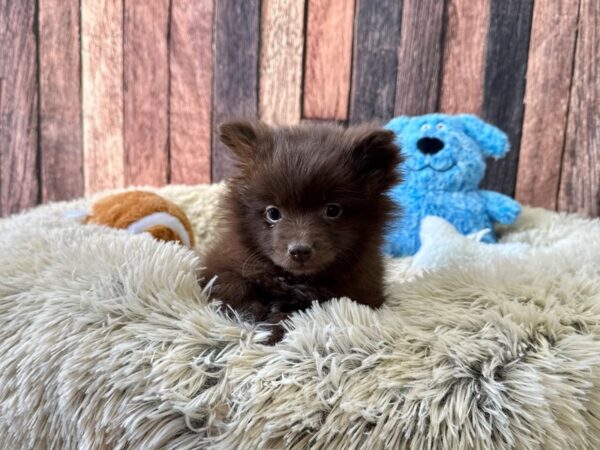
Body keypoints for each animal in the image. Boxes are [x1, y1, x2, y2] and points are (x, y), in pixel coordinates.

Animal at [202, 119, 404, 342]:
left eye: (332, 210)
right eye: (273, 213)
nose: (299, 250)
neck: (295, 279)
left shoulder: (358, 291)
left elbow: (304, 308)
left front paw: (273, 326)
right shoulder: (222, 261)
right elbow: (232, 284)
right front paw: (251, 312)